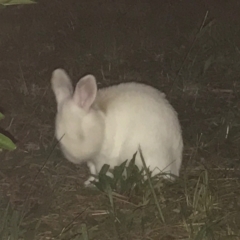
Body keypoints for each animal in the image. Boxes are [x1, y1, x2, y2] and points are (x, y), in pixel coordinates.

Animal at [50, 68, 182, 187]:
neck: (102, 125)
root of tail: (175, 166)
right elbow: (93, 171)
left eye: (80, 135)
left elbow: (103, 173)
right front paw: (89, 182)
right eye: (58, 137)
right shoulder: (92, 161)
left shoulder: (105, 160)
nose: (73, 158)